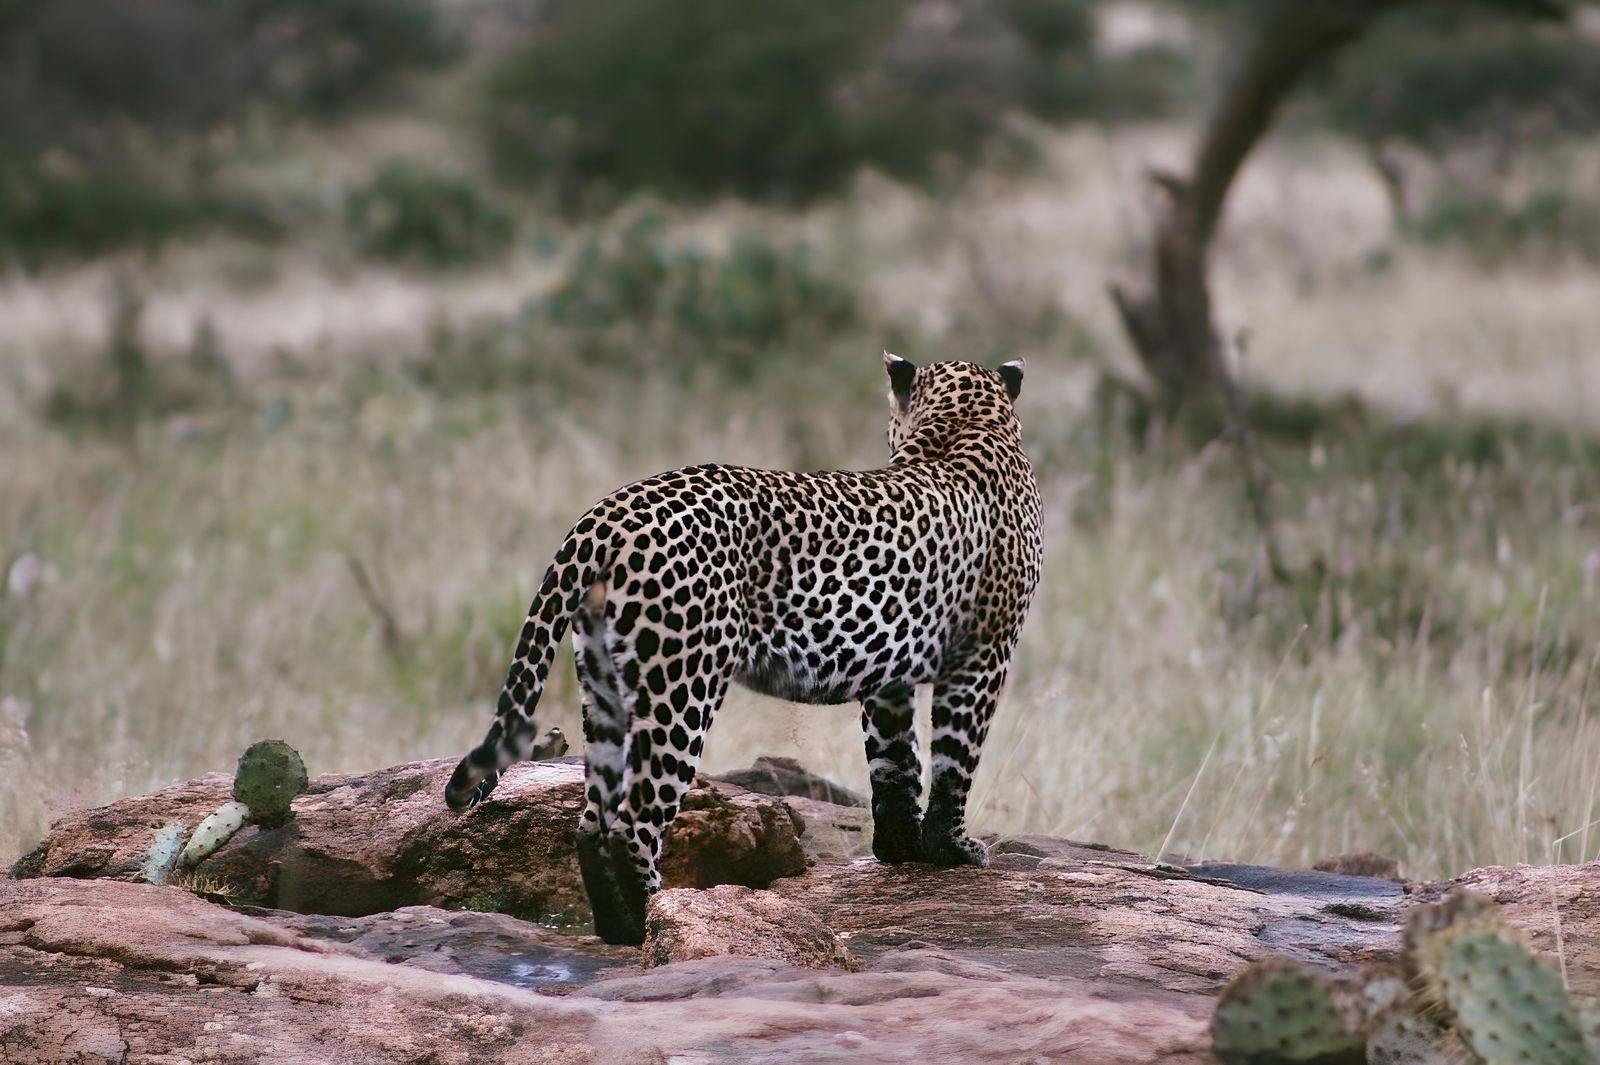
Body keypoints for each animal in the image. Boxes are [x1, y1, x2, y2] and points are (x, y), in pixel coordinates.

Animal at [445, 353, 1043, 945]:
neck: (964, 424)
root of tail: (607, 513)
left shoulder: (890, 673)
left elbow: (896, 759)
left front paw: (902, 848)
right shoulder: (985, 653)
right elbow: (954, 758)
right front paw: (952, 849)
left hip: (605, 685)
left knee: (592, 823)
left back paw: (618, 929)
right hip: (681, 687)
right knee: (632, 824)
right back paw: (657, 917)